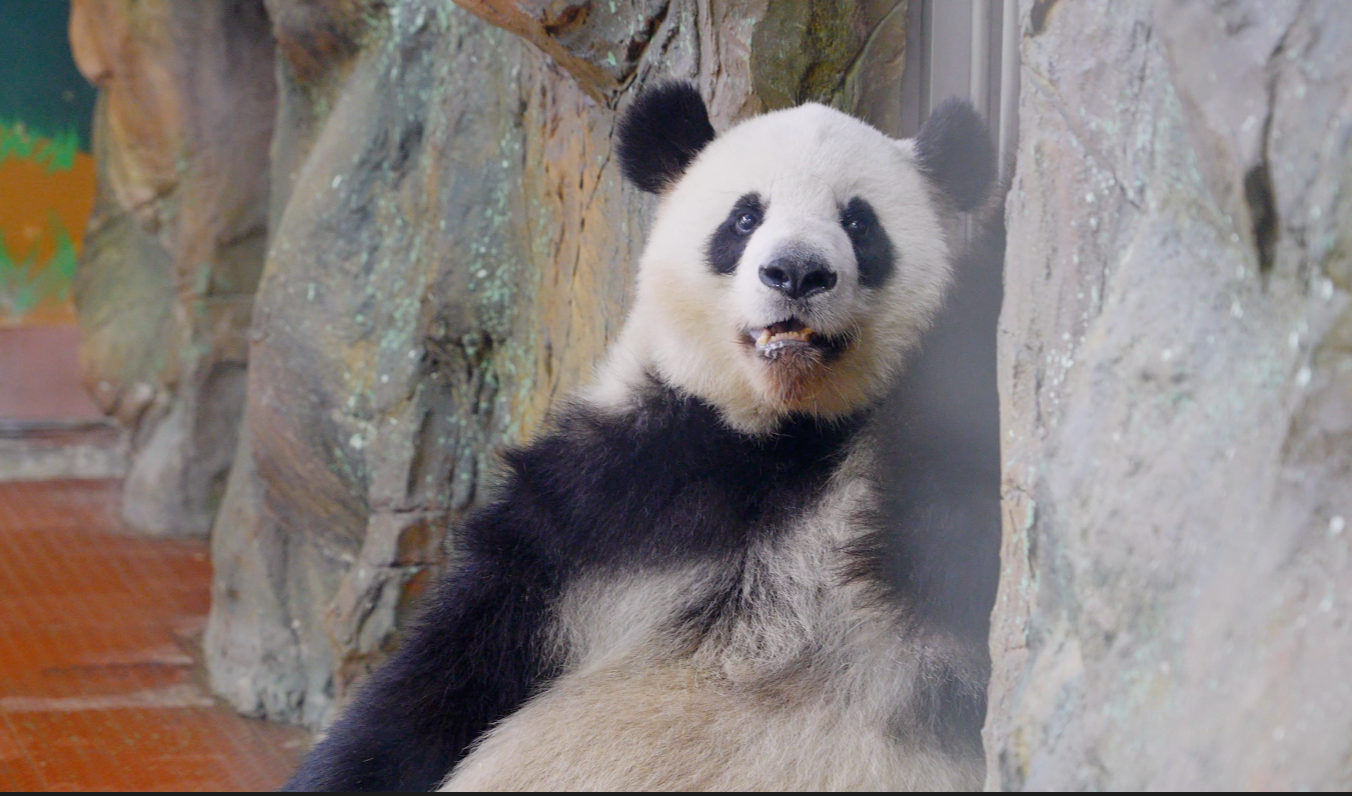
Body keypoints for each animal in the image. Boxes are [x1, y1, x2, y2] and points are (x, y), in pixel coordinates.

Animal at [285, 82, 998, 792]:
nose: (796, 272)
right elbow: (440, 682)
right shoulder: (605, 512)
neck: (779, 439)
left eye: (859, 222)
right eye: (745, 218)